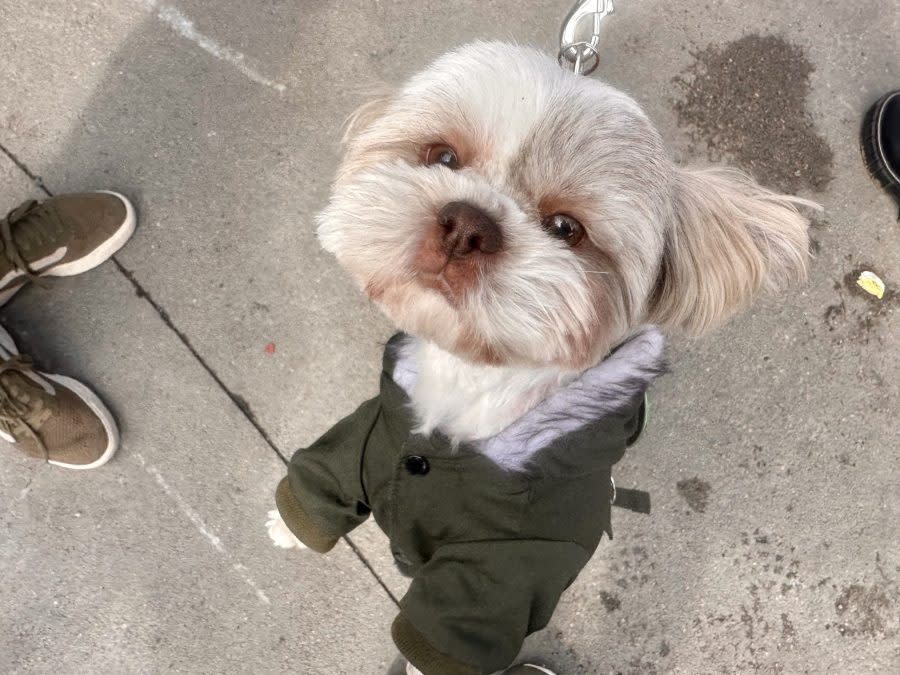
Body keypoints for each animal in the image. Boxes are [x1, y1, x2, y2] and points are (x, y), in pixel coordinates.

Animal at [270, 43, 812, 675]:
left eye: (565, 228)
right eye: (443, 156)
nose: (466, 225)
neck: (467, 387)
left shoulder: (493, 588)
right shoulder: (367, 436)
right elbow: (323, 481)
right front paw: (291, 527)